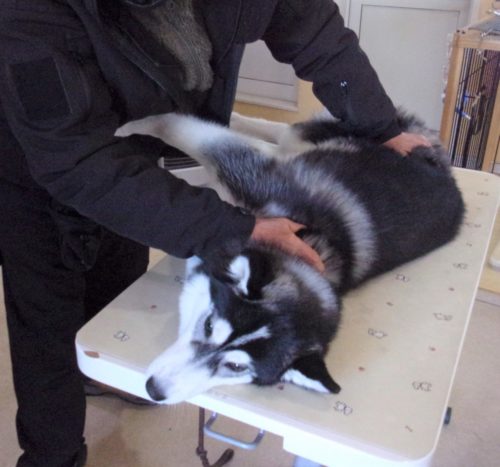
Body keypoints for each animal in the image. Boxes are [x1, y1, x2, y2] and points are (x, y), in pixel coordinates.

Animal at [116, 110, 465, 404]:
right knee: (278, 133)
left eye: (236, 367)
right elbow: (176, 126)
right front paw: (134, 125)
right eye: (209, 325)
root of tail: (442, 164)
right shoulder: (245, 174)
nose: (154, 389)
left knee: (276, 141)